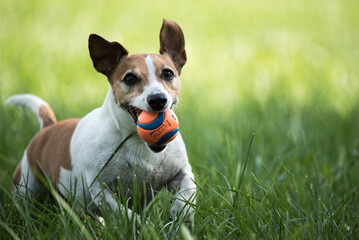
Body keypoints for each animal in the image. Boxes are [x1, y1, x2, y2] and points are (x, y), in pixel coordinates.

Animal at [6, 19, 197, 219]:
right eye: (130, 78)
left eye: (168, 73)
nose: (158, 99)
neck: (138, 143)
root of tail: (48, 127)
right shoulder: (100, 188)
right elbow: (125, 214)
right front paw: (142, 224)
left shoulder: (181, 171)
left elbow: (189, 189)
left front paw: (181, 211)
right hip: (26, 185)